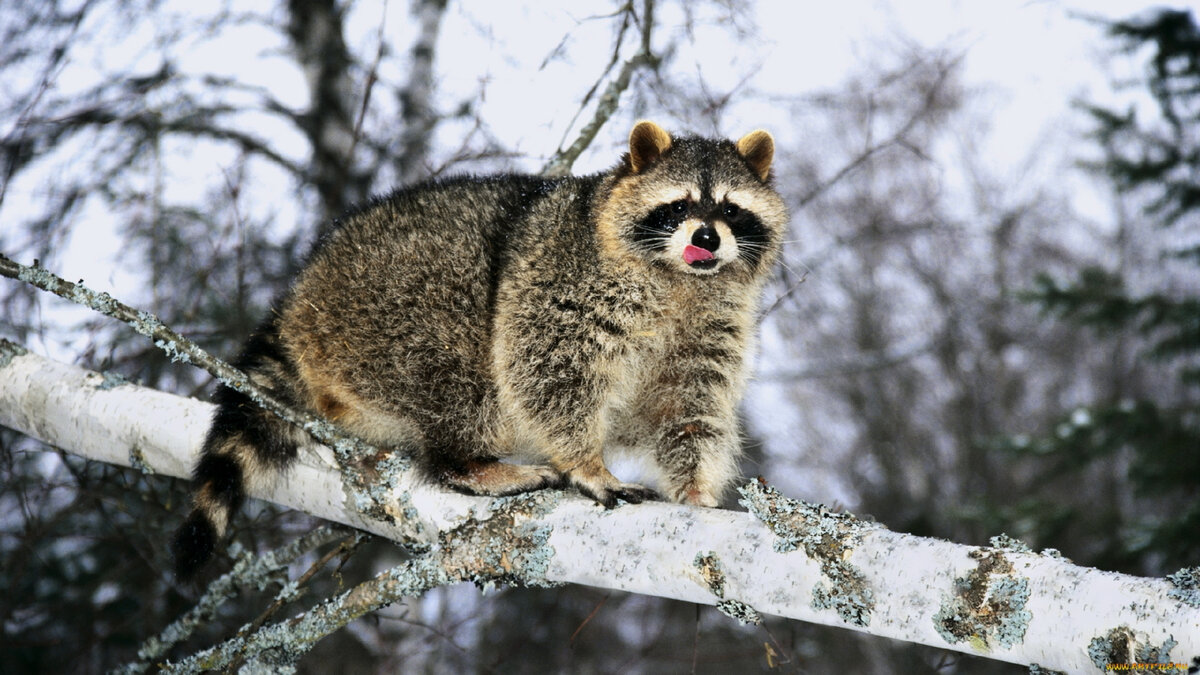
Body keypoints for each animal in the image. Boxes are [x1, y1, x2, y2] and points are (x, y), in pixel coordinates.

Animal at [169, 121, 787, 578]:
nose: (705, 238)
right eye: (679, 206)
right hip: (384, 305)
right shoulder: (562, 282)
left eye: (730, 209)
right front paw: (585, 461)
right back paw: (466, 461)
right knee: (460, 366)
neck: (681, 281)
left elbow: (689, 406)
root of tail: (299, 299)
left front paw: (696, 488)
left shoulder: (711, 325)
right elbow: (546, 368)